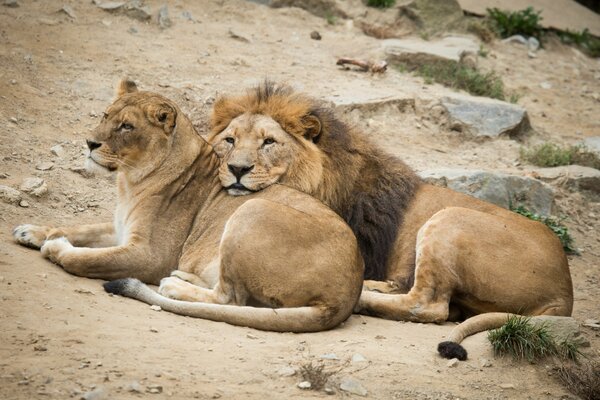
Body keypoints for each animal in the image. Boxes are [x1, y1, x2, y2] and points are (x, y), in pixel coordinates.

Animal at [12, 79, 360, 332]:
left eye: (127, 126)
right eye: (105, 116)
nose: (89, 143)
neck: (130, 181)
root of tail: (345, 297)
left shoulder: (150, 255)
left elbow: (88, 260)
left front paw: (57, 248)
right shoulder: (121, 228)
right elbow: (80, 228)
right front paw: (32, 231)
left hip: (250, 211)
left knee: (232, 299)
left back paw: (175, 288)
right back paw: (184, 278)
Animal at [209, 82, 576, 360]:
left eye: (269, 142)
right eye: (229, 139)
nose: (237, 169)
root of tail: (565, 292)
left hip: (449, 218)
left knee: (429, 306)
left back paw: (364, 298)